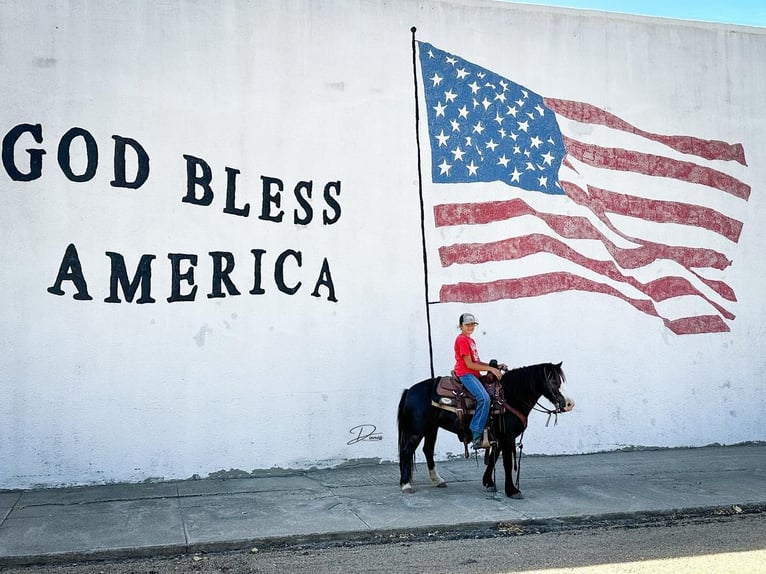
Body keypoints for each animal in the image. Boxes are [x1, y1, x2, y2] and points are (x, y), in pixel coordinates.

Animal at [400, 364, 572, 500]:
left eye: (562, 380)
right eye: (554, 381)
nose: (570, 404)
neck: (509, 396)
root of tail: (409, 391)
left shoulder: (500, 437)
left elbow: (493, 458)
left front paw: (488, 482)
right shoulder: (508, 437)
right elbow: (507, 463)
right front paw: (512, 490)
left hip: (431, 429)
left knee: (428, 450)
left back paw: (438, 480)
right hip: (417, 431)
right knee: (406, 451)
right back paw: (406, 484)